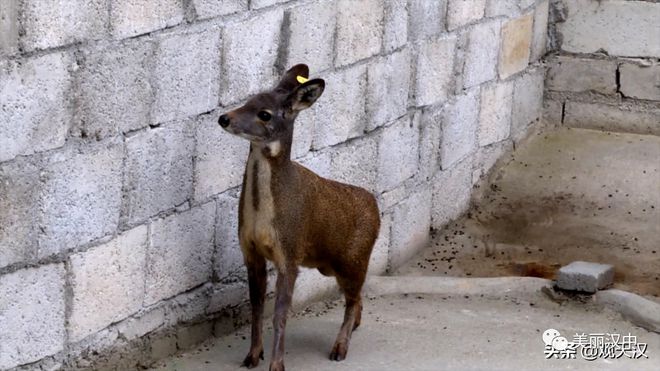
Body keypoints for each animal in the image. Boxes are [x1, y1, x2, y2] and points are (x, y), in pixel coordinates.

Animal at [219, 65, 378, 370]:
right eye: (247, 100)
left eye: (265, 114)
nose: (224, 118)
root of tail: (377, 207)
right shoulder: (250, 250)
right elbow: (256, 307)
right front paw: (252, 356)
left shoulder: (289, 252)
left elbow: (280, 313)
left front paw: (277, 365)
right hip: (331, 264)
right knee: (356, 297)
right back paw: (354, 328)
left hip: (354, 258)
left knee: (352, 298)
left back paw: (340, 348)